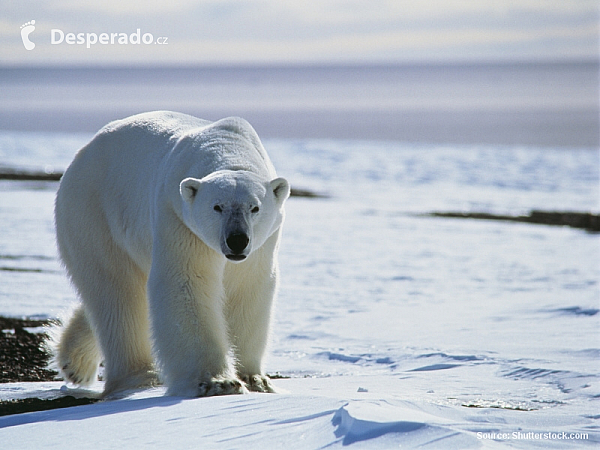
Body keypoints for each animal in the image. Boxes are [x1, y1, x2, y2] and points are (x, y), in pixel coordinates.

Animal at [54, 111, 290, 398]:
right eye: (217, 206)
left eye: (254, 208)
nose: (237, 240)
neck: (227, 146)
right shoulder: (178, 218)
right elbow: (186, 283)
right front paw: (218, 382)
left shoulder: (262, 244)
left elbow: (247, 288)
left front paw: (255, 378)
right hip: (94, 212)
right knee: (116, 293)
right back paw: (138, 376)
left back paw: (74, 362)